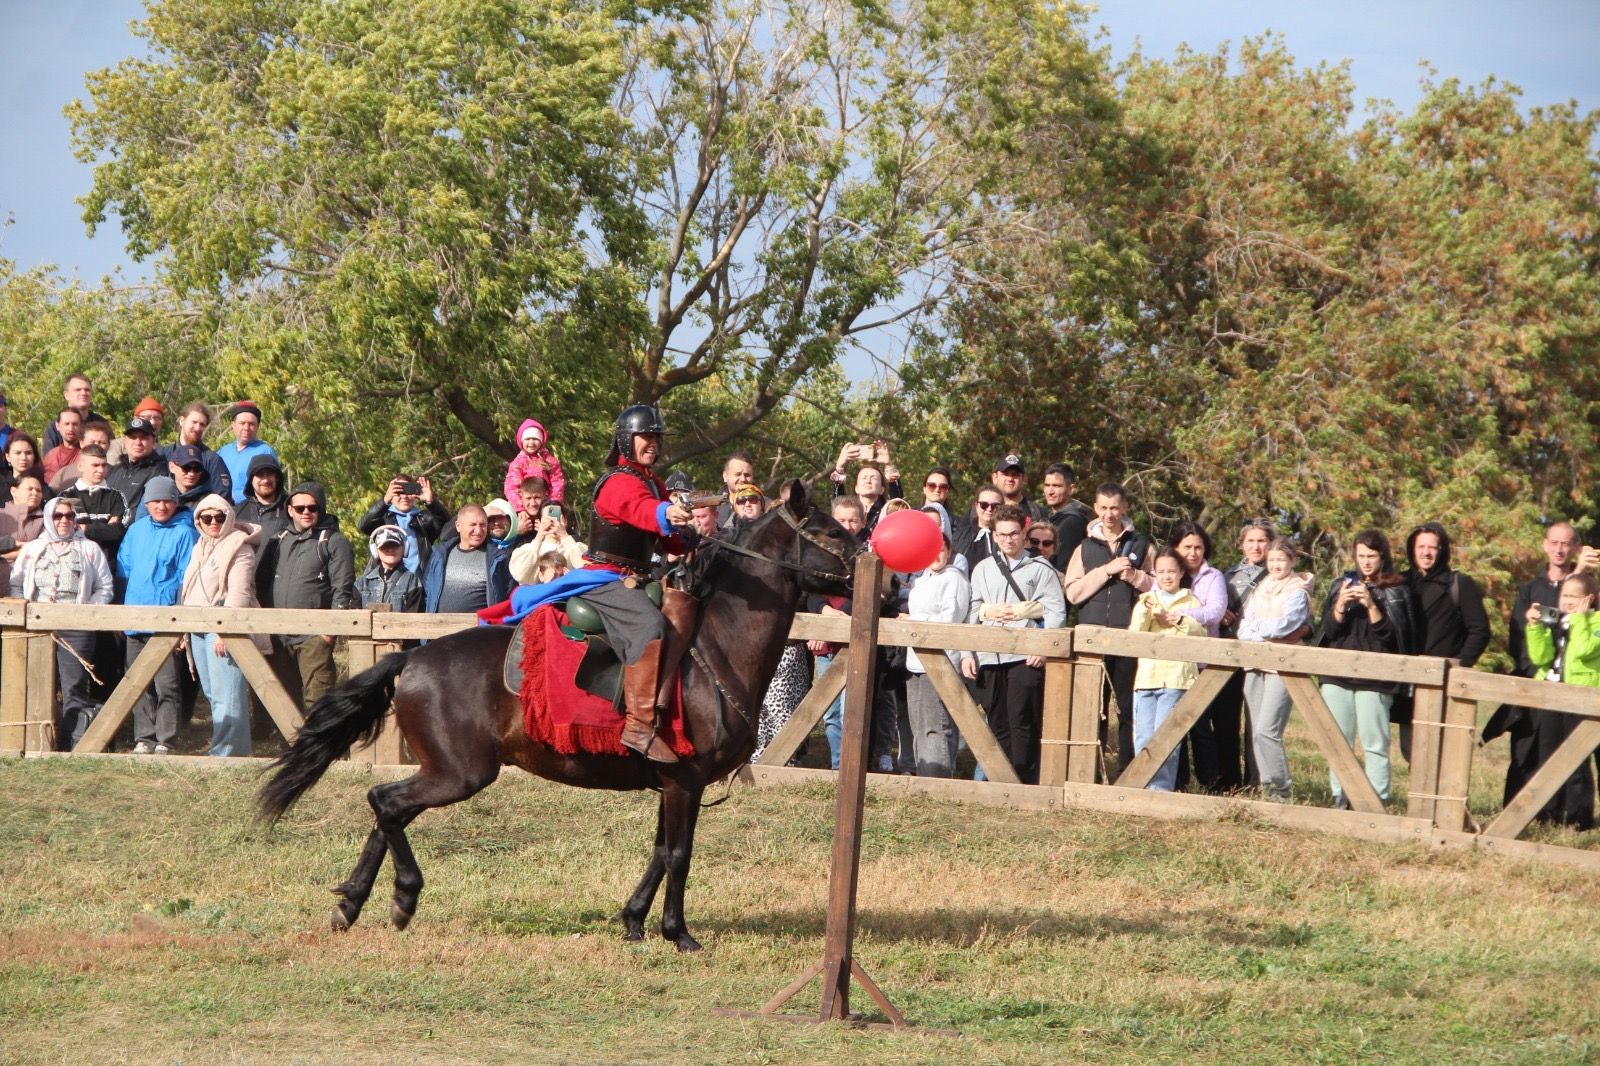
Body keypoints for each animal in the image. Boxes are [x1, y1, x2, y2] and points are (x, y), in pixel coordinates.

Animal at [256, 480, 857, 947]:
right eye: (830, 533)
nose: (870, 571)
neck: (712, 648)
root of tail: (413, 657)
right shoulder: (684, 780)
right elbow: (679, 853)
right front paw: (677, 932)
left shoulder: (671, 783)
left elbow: (660, 851)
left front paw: (634, 921)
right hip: (459, 774)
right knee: (386, 803)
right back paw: (403, 895)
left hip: (443, 772)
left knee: (390, 812)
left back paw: (354, 902)